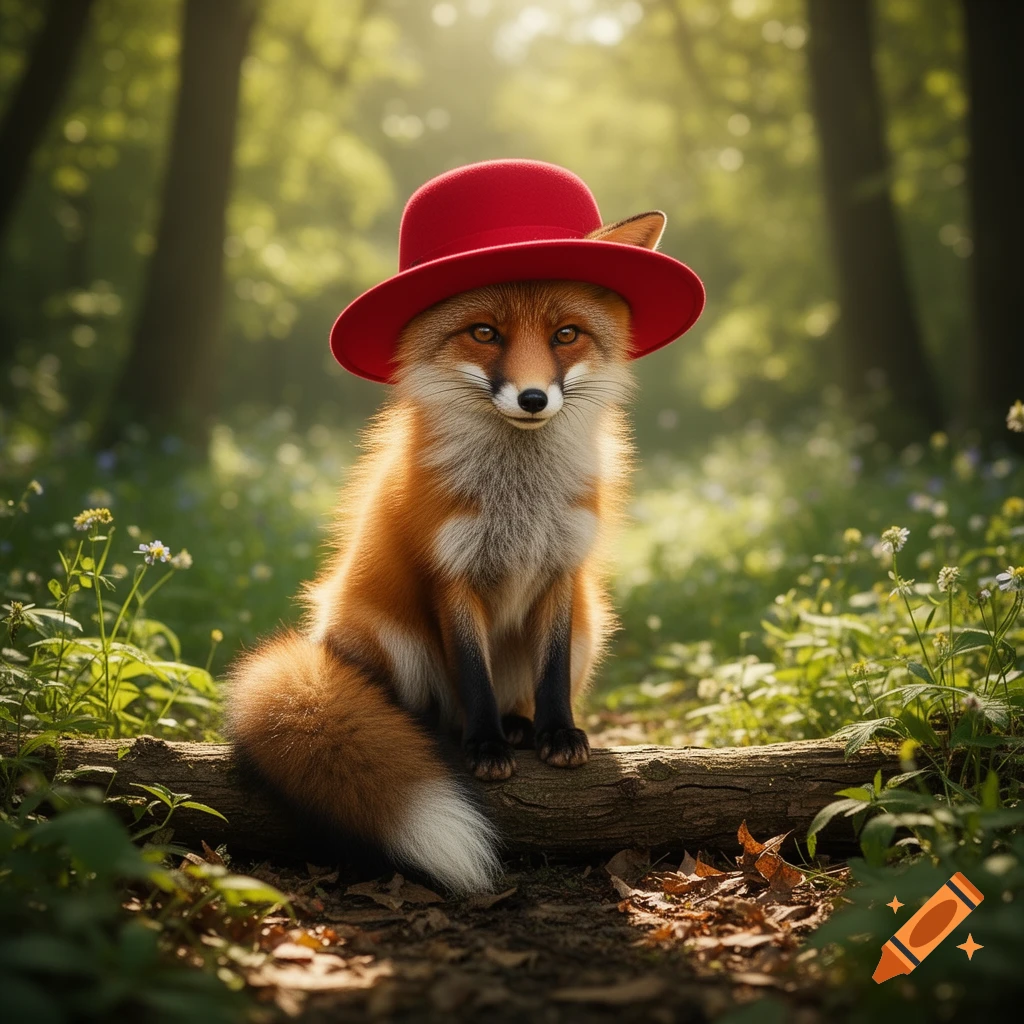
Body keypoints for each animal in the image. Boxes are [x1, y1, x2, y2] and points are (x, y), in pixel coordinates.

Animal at [225, 211, 668, 894]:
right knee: (426, 712)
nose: (534, 398)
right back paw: (446, 733)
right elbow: (472, 673)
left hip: (593, 626)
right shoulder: (451, 574)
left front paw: (556, 733)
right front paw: (486, 747)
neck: (519, 499)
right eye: (484, 333)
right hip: (392, 640)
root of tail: (325, 645)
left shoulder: (561, 570)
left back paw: (521, 726)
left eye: (566, 335)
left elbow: (551, 671)